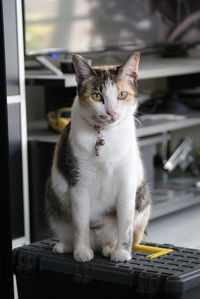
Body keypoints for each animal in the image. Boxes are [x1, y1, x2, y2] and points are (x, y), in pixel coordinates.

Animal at [45, 52, 151, 264]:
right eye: (96, 96)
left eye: (122, 94)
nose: (111, 112)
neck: (105, 136)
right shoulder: (78, 182)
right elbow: (80, 224)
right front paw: (81, 251)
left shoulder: (127, 182)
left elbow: (125, 221)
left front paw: (121, 252)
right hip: (52, 193)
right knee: (71, 228)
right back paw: (66, 246)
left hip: (143, 193)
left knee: (122, 234)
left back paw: (110, 248)